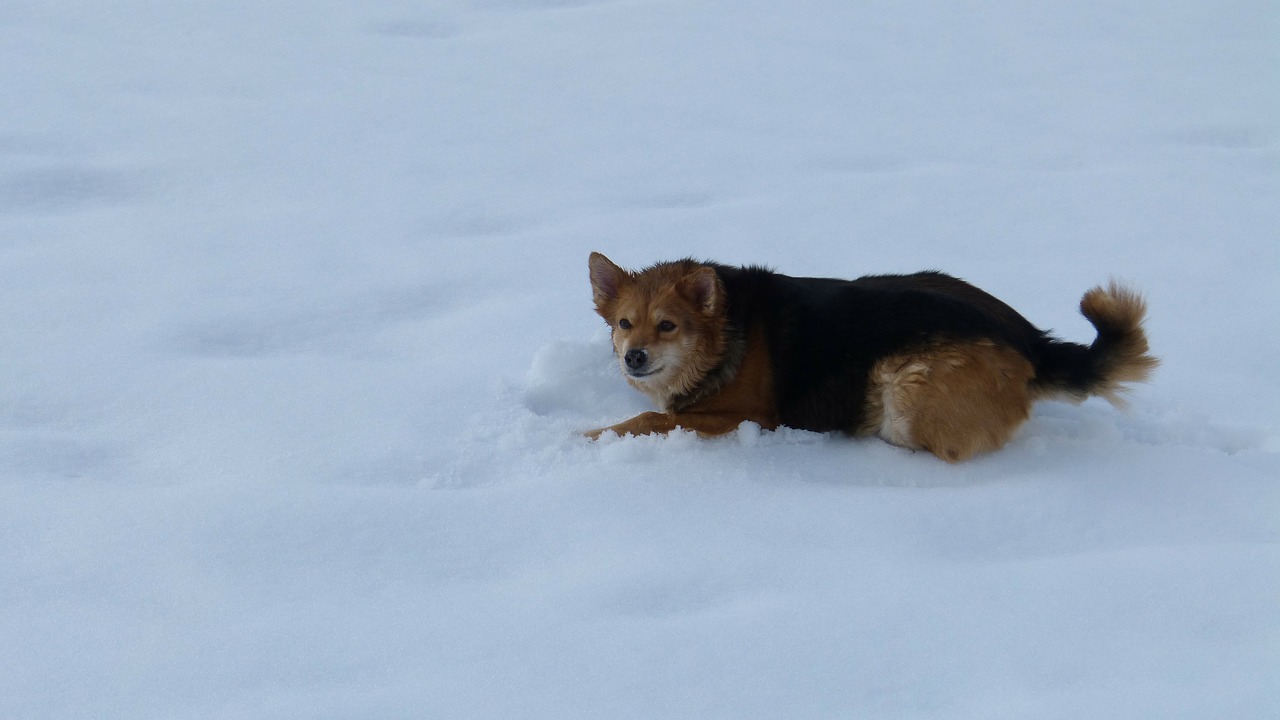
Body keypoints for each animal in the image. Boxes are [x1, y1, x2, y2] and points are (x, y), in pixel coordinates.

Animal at [586, 249, 1157, 458]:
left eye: (668, 325)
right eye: (624, 323)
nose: (633, 357)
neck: (726, 333)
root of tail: (1032, 343)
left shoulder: (748, 416)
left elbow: (649, 418)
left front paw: (587, 436)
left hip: (905, 387)